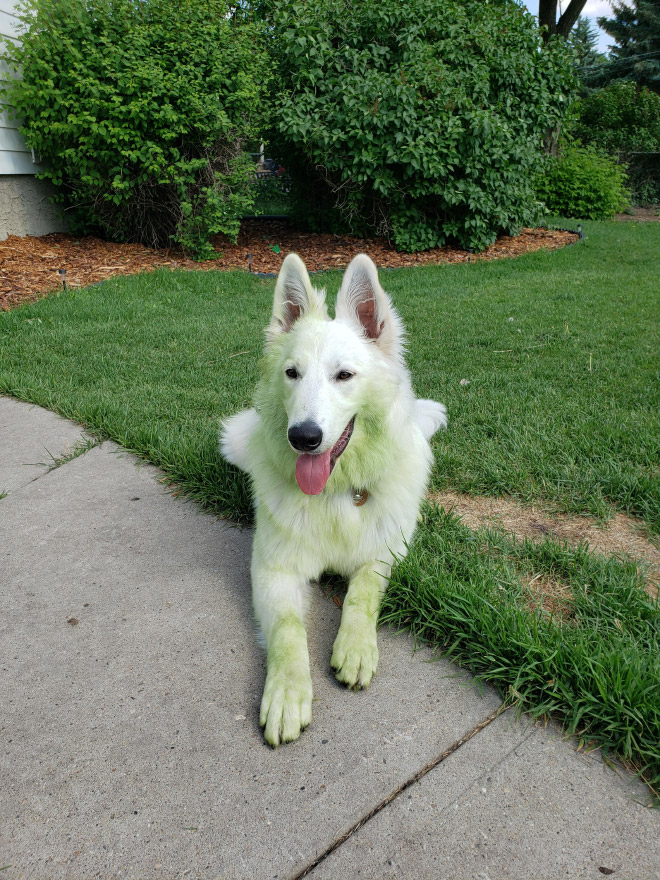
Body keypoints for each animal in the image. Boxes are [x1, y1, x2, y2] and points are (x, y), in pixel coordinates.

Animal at [223, 251, 448, 744]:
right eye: (292, 373)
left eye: (344, 375)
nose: (303, 437)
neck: (335, 492)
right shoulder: (273, 570)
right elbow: (288, 630)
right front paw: (287, 693)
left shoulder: (384, 552)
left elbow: (361, 593)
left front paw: (356, 647)